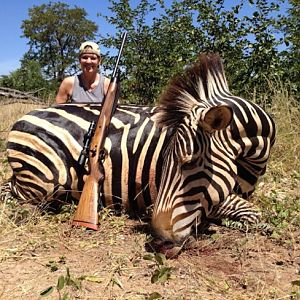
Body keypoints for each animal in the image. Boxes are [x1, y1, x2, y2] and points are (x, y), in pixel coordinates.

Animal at [5, 52, 276, 243]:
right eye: (171, 160)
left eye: (189, 162)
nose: (161, 233)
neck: (251, 161)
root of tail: (23, 117)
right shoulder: (215, 198)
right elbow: (253, 215)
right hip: (46, 180)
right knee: (14, 194)